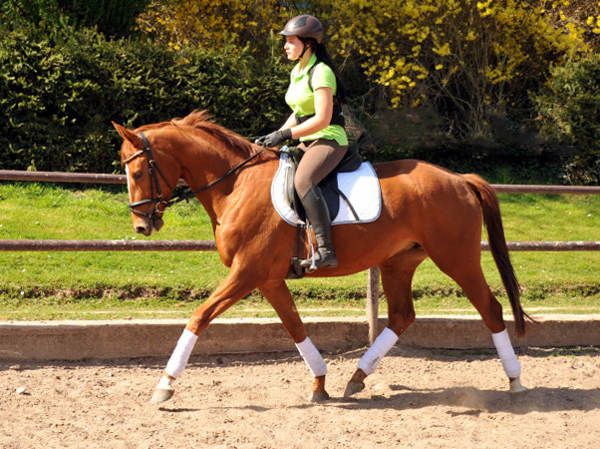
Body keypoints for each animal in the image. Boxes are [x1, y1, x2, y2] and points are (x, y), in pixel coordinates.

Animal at [115, 110, 532, 404]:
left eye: (137, 171)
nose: (141, 225)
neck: (235, 185)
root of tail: (460, 179)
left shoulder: (246, 273)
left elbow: (199, 317)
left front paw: (165, 385)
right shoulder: (268, 278)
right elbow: (295, 326)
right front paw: (319, 383)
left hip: (456, 258)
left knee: (490, 308)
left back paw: (515, 381)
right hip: (398, 262)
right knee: (402, 316)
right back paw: (356, 378)